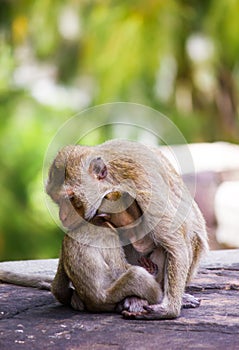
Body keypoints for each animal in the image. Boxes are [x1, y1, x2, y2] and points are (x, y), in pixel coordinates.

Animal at [46, 139, 207, 320]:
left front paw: (169, 310)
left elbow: (175, 244)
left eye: (71, 198)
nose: (62, 216)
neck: (114, 181)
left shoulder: (145, 186)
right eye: (58, 200)